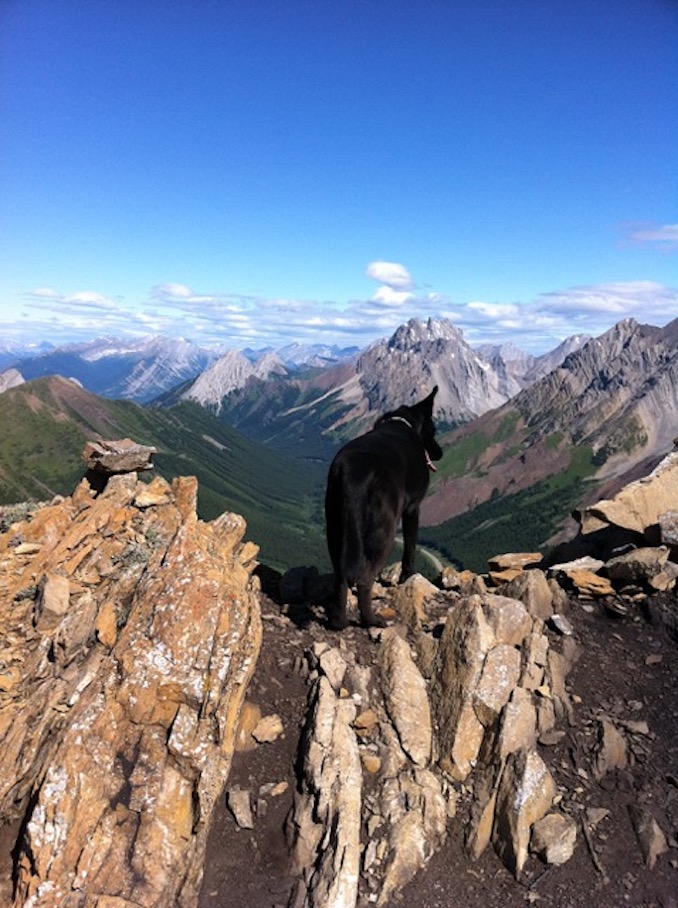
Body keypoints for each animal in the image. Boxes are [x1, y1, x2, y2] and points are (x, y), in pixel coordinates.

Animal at [326, 384, 444, 632]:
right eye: (434, 428)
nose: (440, 453)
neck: (403, 423)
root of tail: (355, 472)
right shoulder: (413, 509)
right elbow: (410, 546)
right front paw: (407, 577)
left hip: (335, 528)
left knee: (341, 576)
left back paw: (339, 621)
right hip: (384, 531)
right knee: (363, 579)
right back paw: (371, 620)